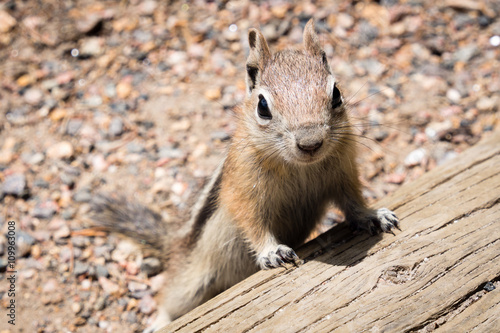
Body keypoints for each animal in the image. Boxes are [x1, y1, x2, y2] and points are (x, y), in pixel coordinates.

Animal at [92, 19, 400, 330]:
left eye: (336, 93)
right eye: (262, 106)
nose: (310, 143)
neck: (301, 167)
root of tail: (172, 243)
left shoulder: (343, 174)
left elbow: (352, 200)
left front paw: (373, 215)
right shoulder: (243, 188)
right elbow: (251, 221)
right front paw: (272, 251)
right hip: (191, 282)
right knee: (172, 300)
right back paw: (159, 322)